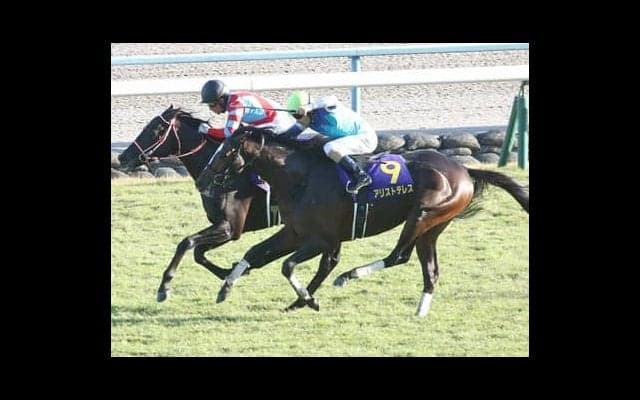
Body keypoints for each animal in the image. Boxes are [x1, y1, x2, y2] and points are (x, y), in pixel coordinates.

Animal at [196, 126, 529, 316]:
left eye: (226, 151)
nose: (201, 179)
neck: (301, 177)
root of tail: (464, 170)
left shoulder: (321, 239)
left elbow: (288, 266)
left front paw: (308, 299)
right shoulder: (294, 232)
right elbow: (253, 254)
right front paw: (225, 286)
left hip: (423, 214)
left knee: (398, 256)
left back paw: (349, 276)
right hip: (433, 227)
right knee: (431, 271)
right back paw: (420, 312)